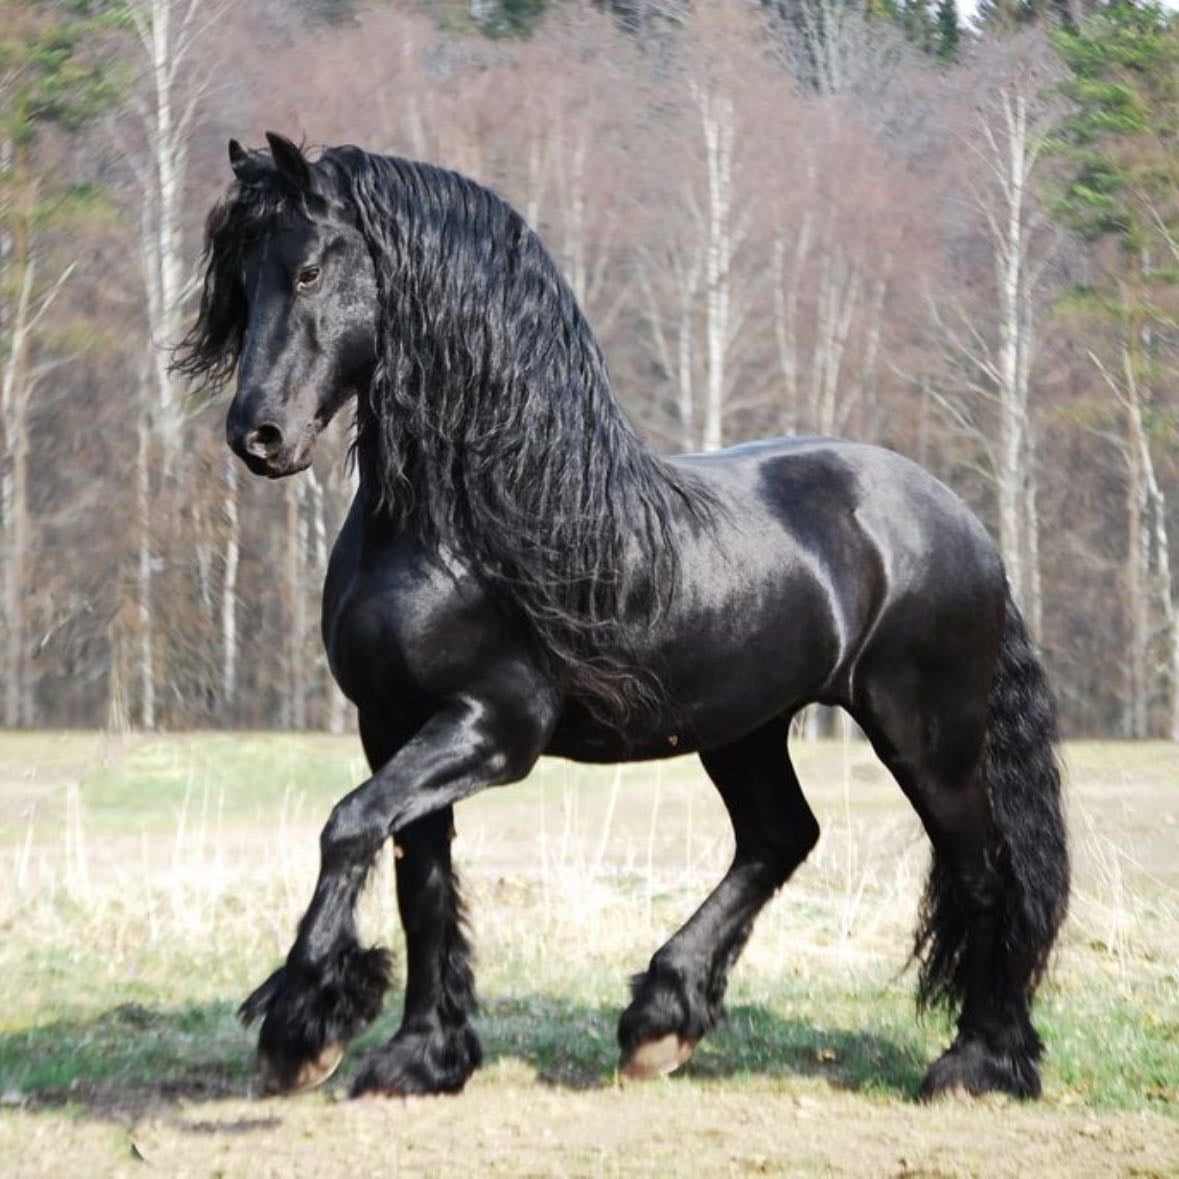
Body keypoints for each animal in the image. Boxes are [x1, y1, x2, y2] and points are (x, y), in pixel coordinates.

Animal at [174, 132, 1068, 1103]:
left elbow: (346, 827)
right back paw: (661, 1020)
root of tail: (960, 519)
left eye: (306, 269)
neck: (464, 524)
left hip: (926, 736)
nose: (258, 435)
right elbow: (421, 880)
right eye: (239, 281)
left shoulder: (492, 729)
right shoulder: (391, 724)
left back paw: (978, 1060)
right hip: (743, 726)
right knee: (780, 835)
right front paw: (421, 1054)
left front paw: (302, 1026)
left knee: (982, 874)